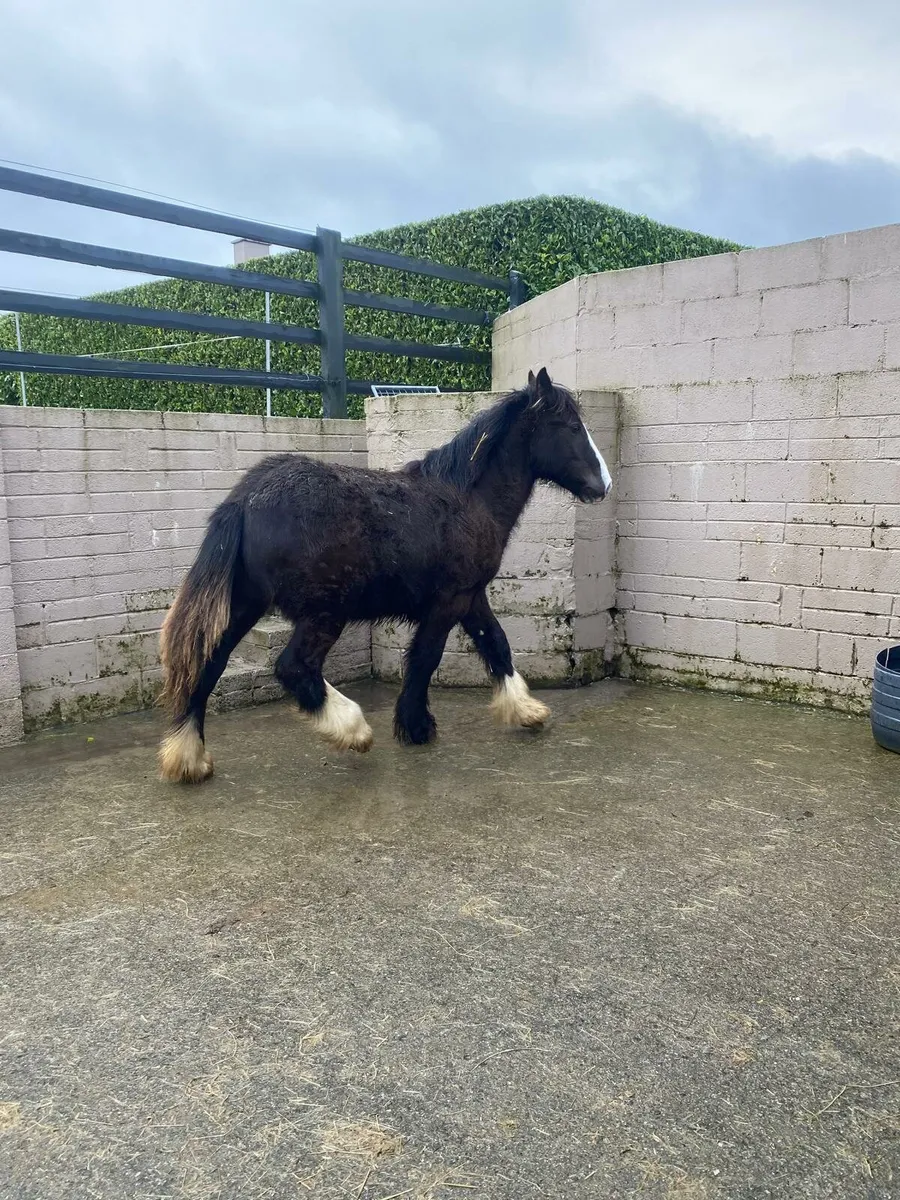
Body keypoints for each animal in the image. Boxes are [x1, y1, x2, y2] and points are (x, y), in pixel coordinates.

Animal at [157, 367, 612, 783]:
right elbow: (425, 658)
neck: (468, 498)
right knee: (294, 667)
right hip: (324, 614)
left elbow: (496, 644)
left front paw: (526, 710)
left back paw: (189, 758)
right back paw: (353, 730)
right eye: (572, 427)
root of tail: (245, 501)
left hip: (246, 604)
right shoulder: (448, 602)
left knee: (208, 664)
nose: (603, 485)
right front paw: (416, 727)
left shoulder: (471, 597)